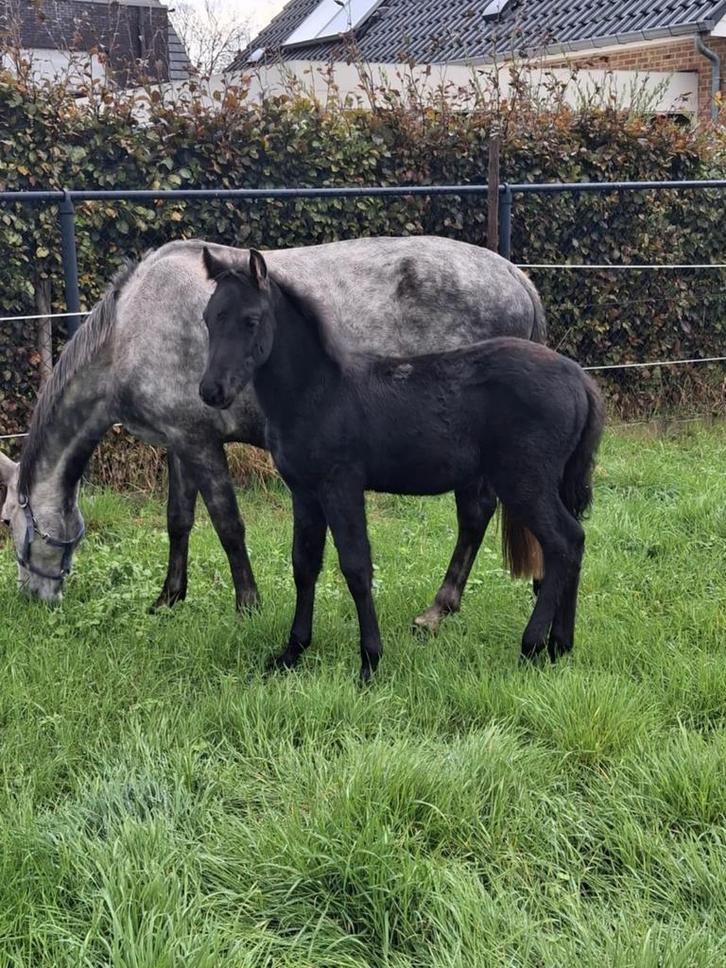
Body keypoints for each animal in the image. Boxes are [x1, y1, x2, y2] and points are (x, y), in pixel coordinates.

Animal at [0, 236, 546, 612]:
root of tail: (516, 277)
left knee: (474, 514)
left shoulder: (200, 443)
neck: (132, 329)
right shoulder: (179, 441)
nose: (32, 596)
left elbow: (228, 524)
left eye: (7, 522)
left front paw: (248, 604)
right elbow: (179, 521)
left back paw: (442, 604)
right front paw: (169, 598)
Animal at [199, 249, 604, 681]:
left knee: (564, 541)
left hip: (525, 482)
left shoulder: (340, 485)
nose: (211, 391)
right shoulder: (305, 492)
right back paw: (560, 645)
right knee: (573, 543)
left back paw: (532, 646)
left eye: (251, 320)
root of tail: (579, 378)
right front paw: (292, 653)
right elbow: (304, 565)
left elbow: (356, 567)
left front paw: (369, 662)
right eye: (208, 317)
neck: (317, 393)